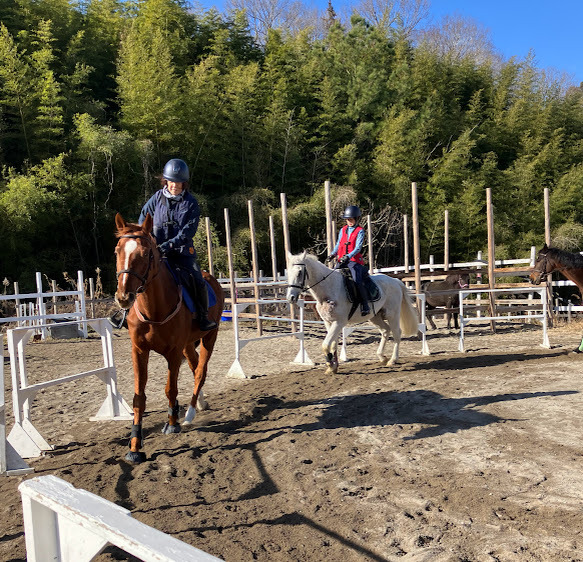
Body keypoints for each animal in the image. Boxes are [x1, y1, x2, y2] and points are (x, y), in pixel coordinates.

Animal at [115, 212, 225, 462]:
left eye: (146, 254)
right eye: (117, 250)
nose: (124, 297)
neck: (154, 309)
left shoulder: (173, 353)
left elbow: (170, 389)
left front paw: (172, 422)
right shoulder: (139, 351)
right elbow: (139, 397)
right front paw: (135, 446)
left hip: (209, 337)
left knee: (200, 372)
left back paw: (191, 413)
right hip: (188, 345)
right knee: (195, 367)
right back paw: (200, 403)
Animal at [286, 250, 418, 372]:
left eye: (299, 272)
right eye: (288, 273)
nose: (290, 297)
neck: (329, 288)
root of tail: (395, 281)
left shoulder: (339, 322)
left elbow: (326, 344)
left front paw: (330, 363)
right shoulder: (328, 322)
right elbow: (332, 344)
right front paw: (333, 366)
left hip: (392, 314)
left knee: (397, 333)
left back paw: (393, 360)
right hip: (375, 317)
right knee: (385, 330)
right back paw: (382, 357)